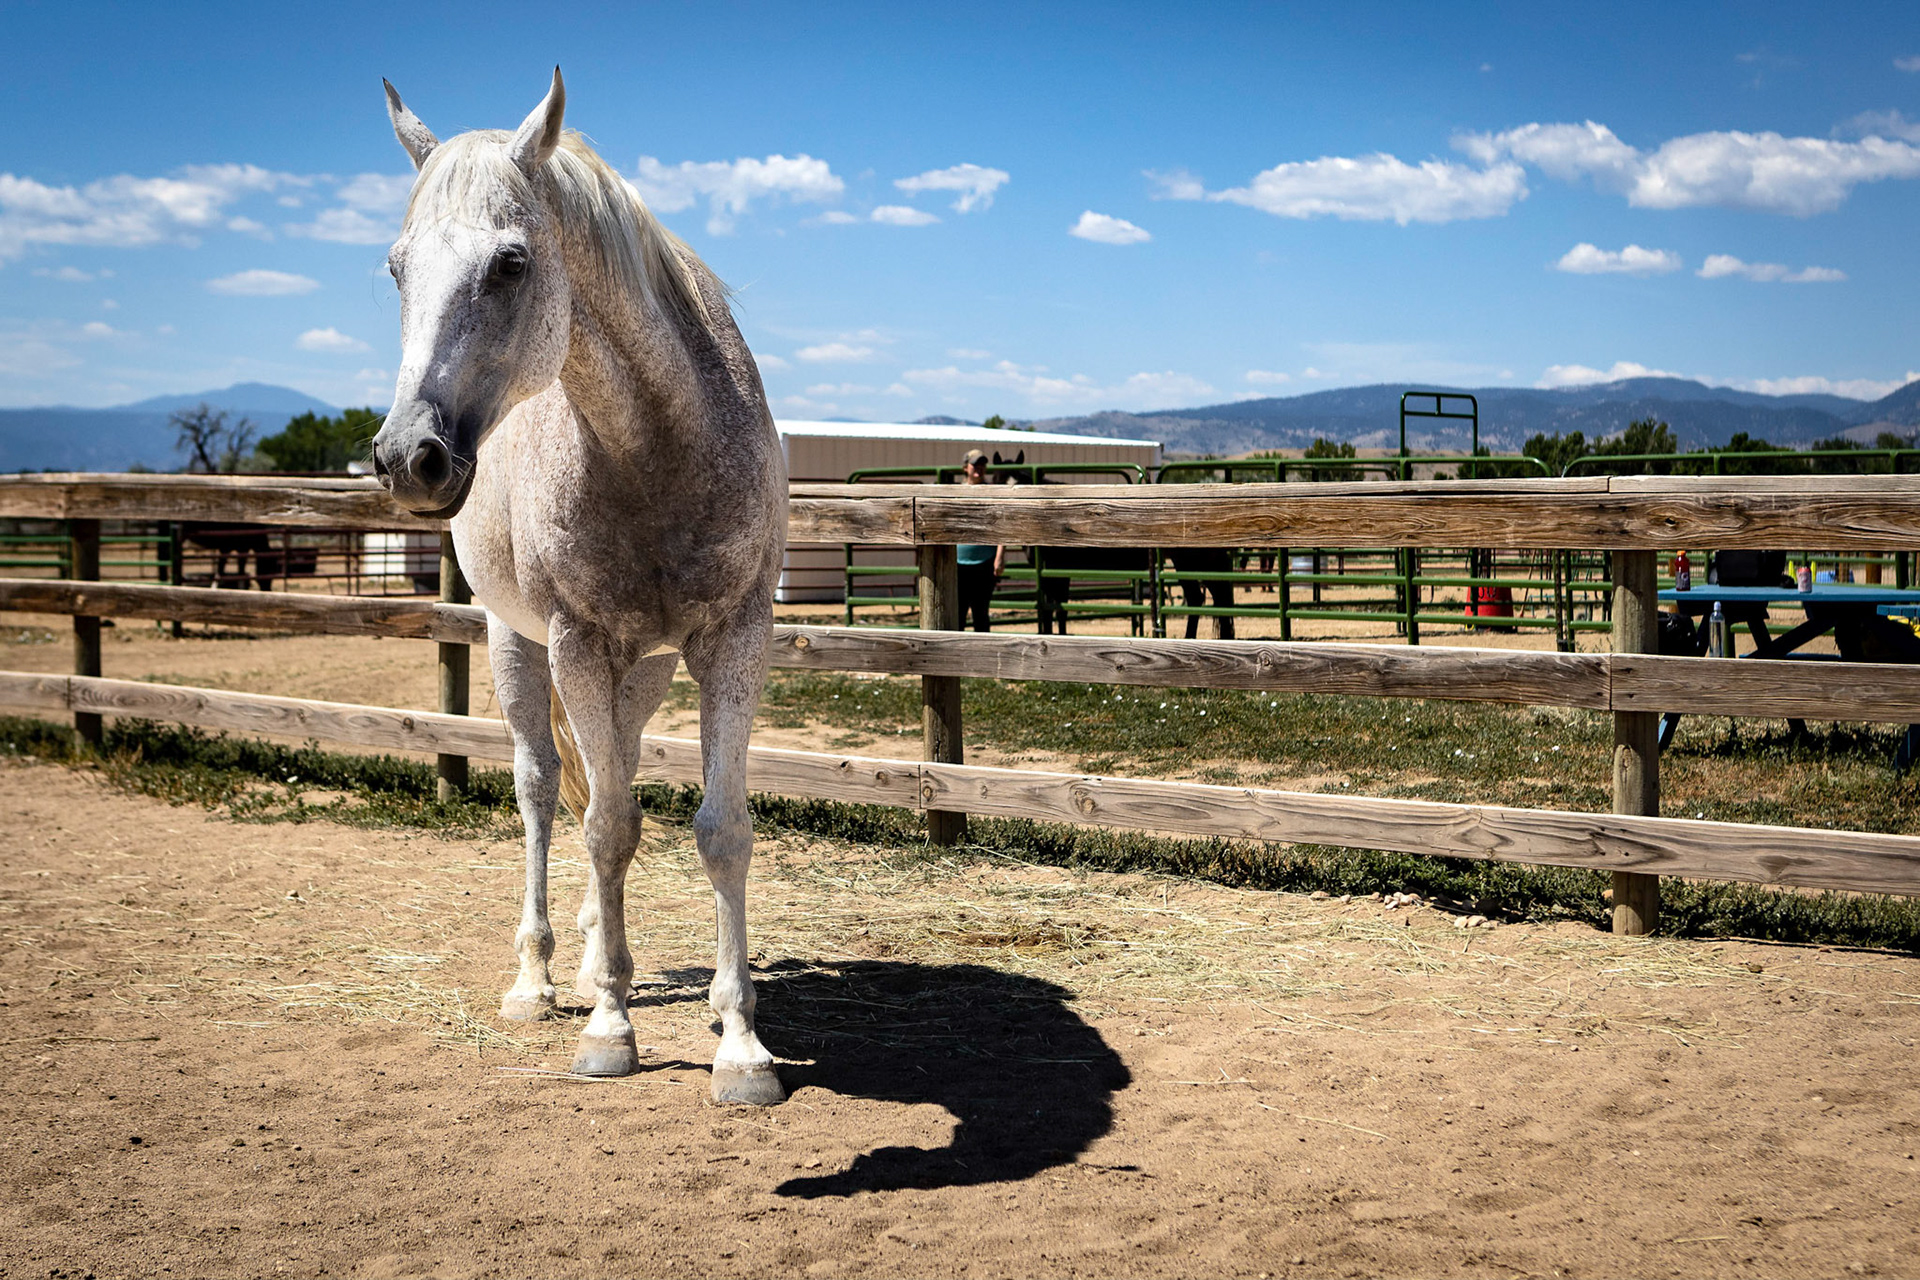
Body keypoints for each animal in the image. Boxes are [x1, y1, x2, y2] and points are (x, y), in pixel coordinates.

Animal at [371, 71, 788, 1106]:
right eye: (396, 270)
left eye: (512, 263)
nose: (406, 458)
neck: (659, 451)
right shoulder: (574, 642)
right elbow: (600, 829)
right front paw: (608, 1031)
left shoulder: (736, 639)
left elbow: (717, 829)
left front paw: (742, 1046)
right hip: (517, 643)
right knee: (540, 790)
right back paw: (542, 980)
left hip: (642, 670)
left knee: (617, 776)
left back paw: (607, 956)